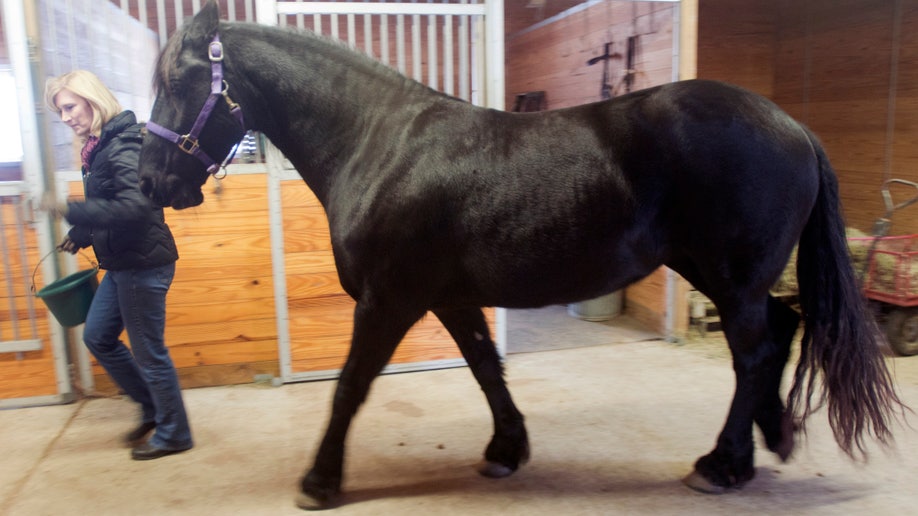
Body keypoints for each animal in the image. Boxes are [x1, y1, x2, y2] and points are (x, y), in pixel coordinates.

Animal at [139, 2, 903, 510]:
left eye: (178, 83)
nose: (151, 183)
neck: (380, 145)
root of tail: (792, 125)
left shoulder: (389, 300)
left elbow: (351, 386)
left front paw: (319, 481)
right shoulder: (448, 297)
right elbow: (486, 367)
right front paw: (506, 451)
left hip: (730, 277)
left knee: (754, 351)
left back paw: (722, 464)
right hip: (720, 275)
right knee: (779, 332)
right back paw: (770, 440)